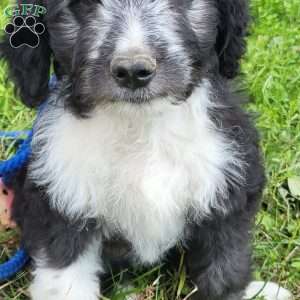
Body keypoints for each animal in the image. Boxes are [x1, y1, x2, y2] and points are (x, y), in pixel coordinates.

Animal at [0, 0, 292, 300]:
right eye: (83, 5)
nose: (133, 71)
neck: (141, 125)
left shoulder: (227, 190)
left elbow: (225, 271)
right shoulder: (61, 203)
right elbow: (65, 278)